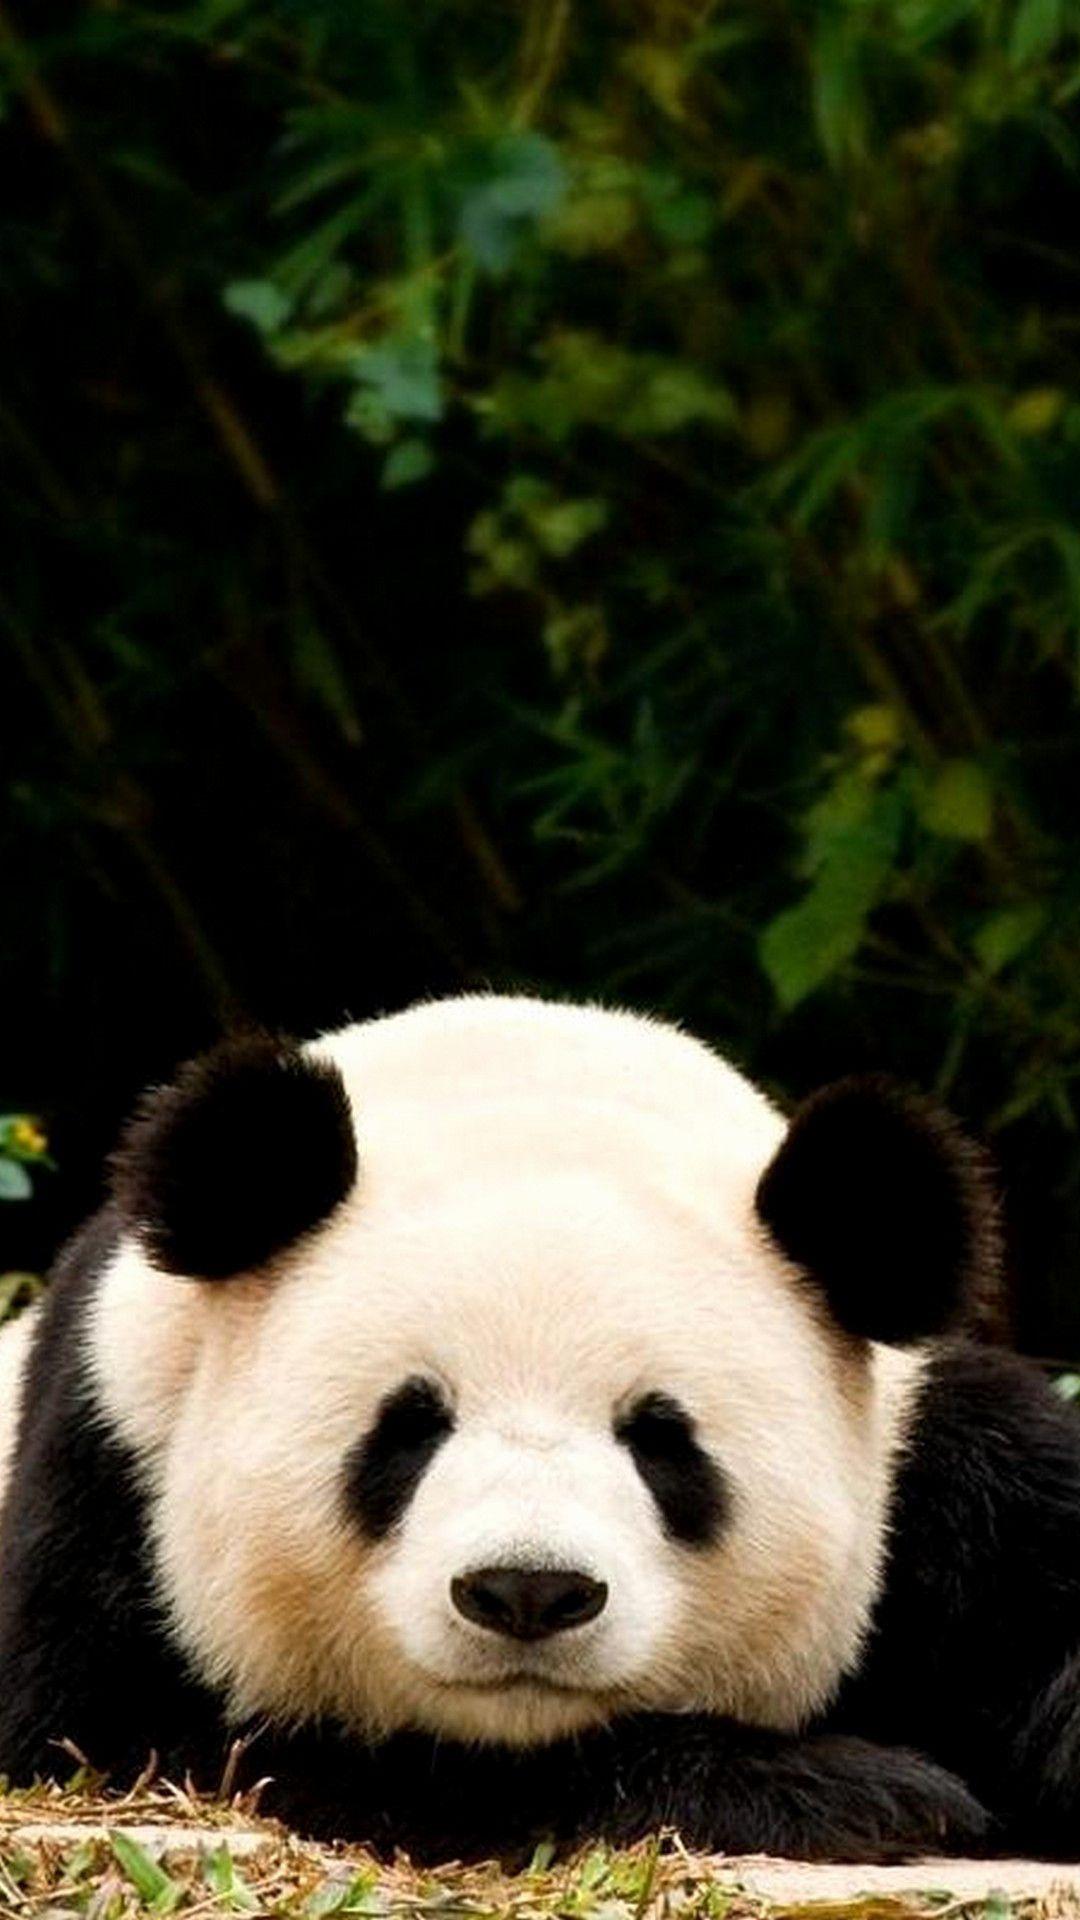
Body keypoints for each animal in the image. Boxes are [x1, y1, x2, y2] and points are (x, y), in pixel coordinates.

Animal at [1, 993, 1079, 1864]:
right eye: (408, 1429)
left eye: (662, 1441)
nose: (528, 1592)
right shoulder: (113, 1454)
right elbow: (159, 1742)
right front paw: (851, 1793)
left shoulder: (952, 1465)